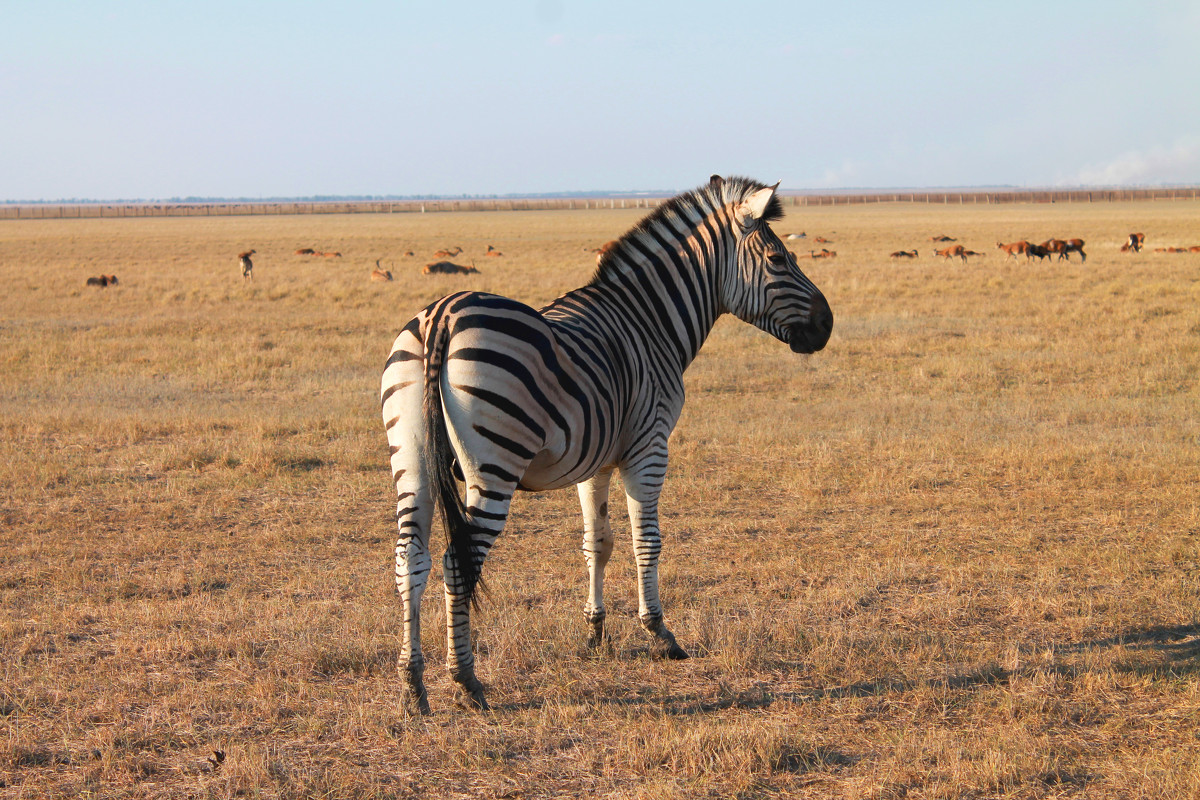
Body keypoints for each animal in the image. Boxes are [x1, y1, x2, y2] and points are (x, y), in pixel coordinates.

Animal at [384, 175, 835, 714]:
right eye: (778, 260)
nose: (828, 325)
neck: (649, 323)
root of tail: (442, 316)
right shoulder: (650, 448)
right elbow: (647, 540)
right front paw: (660, 633)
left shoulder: (594, 460)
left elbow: (597, 542)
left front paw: (595, 632)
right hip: (493, 468)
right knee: (458, 563)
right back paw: (466, 680)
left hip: (413, 462)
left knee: (411, 560)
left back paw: (412, 685)